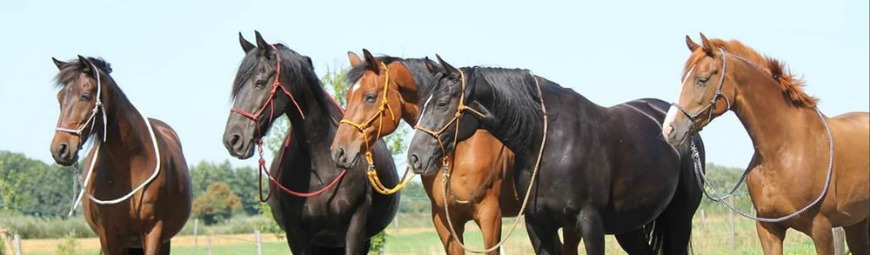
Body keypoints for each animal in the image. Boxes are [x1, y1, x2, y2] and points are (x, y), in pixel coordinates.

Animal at [49, 54, 192, 254]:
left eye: (84, 96)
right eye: (59, 98)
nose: (60, 149)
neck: (129, 163)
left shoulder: (153, 230)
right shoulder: (109, 235)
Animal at [223, 31, 404, 253]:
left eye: (260, 82)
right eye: (238, 87)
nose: (233, 139)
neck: (321, 161)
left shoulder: (355, 230)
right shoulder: (296, 235)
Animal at [330, 50, 584, 255]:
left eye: (370, 97)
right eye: (349, 96)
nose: (339, 151)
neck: (460, 152)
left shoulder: (490, 216)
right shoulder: (445, 221)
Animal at [408, 56, 708, 255]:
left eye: (442, 103)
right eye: (423, 103)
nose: (414, 157)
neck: (550, 142)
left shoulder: (589, 223)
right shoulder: (538, 225)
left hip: (680, 218)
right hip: (630, 225)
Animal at [664, 34, 868, 255]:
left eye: (702, 80)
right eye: (683, 80)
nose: (669, 128)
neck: (784, 151)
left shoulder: (821, 228)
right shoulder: (768, 229)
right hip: (856, 223)